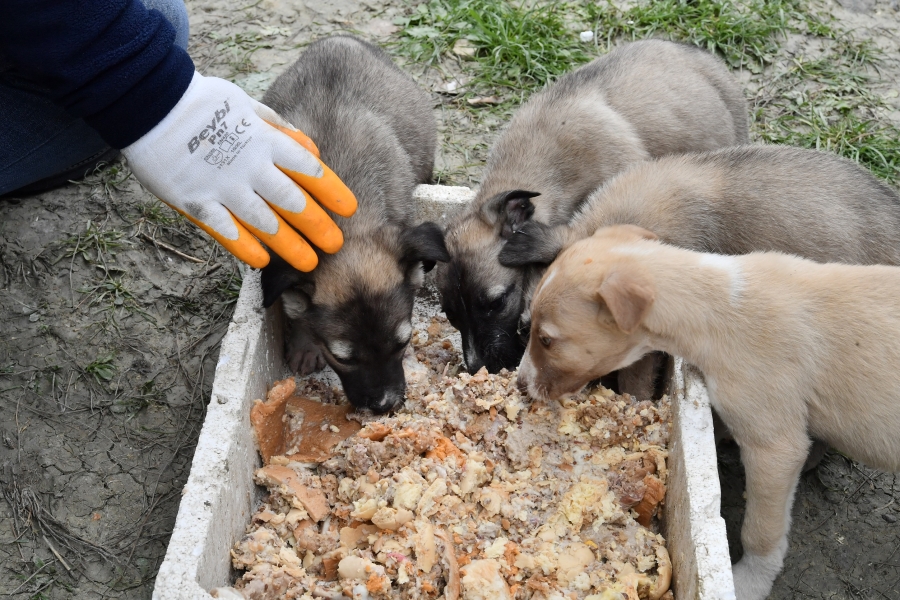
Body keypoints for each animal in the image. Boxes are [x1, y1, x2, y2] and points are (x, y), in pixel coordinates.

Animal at [260, 35, 450, 414]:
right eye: (343, 358)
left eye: (403, 343)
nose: (385, 405)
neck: (343, 227)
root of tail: (340, 39)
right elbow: (295, 306)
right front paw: (305, 344)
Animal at [516, 224, 900, 600]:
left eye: (546, 339)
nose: (519, 385)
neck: (721, 304)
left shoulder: (776, 448)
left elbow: (760, 530)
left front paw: (750, 582)